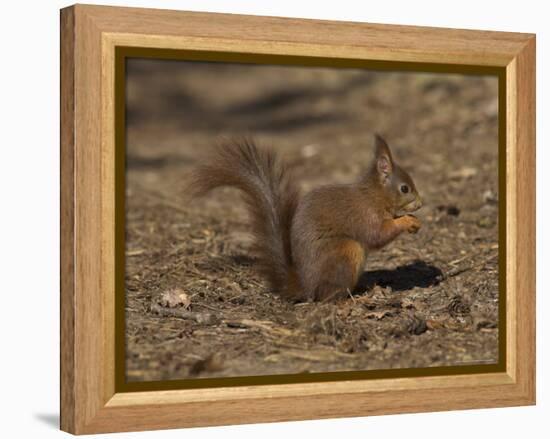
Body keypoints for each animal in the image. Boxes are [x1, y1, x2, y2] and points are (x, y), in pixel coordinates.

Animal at [188, 136, 424, 302]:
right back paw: (350, 299)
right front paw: (407, 221)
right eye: (405, 188)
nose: (421, 204)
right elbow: (377, 234)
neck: (375, 195)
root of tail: (306, 286)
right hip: (346, 252)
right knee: (327, 297)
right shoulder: (365, 214)